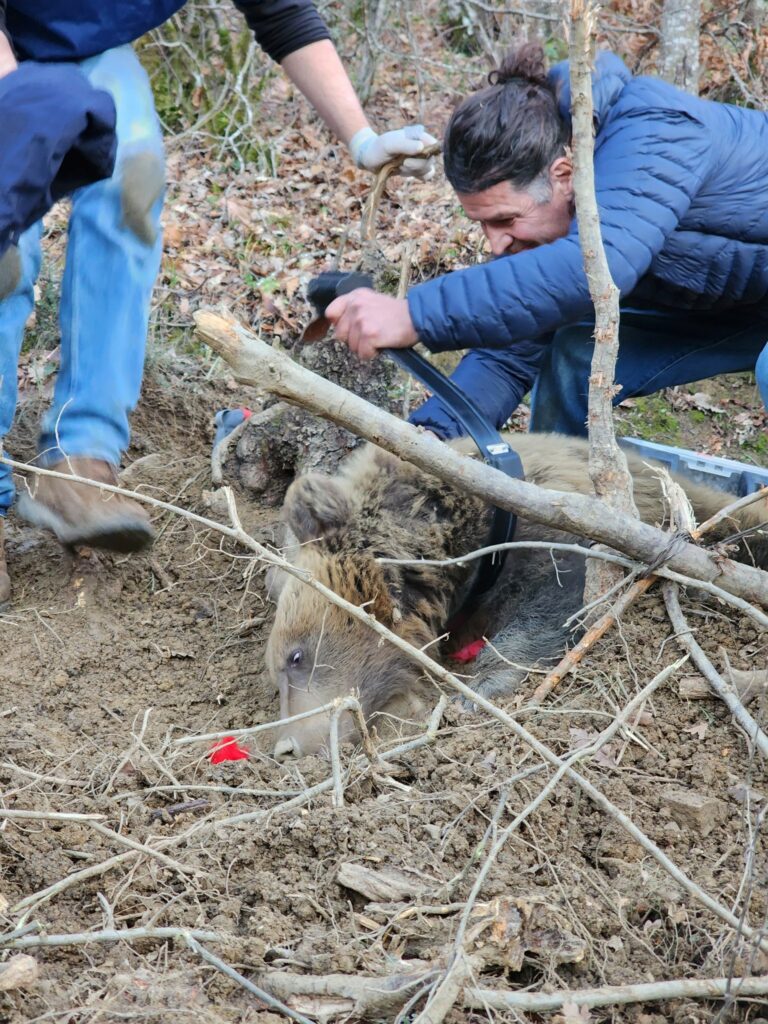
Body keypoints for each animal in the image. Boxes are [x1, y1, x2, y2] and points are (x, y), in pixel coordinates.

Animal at [264, 428, 765, 757]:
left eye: (296, 656)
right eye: (278, 671)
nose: (285, 746)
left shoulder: (550, 535)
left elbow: (551, 606)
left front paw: (476, 689)